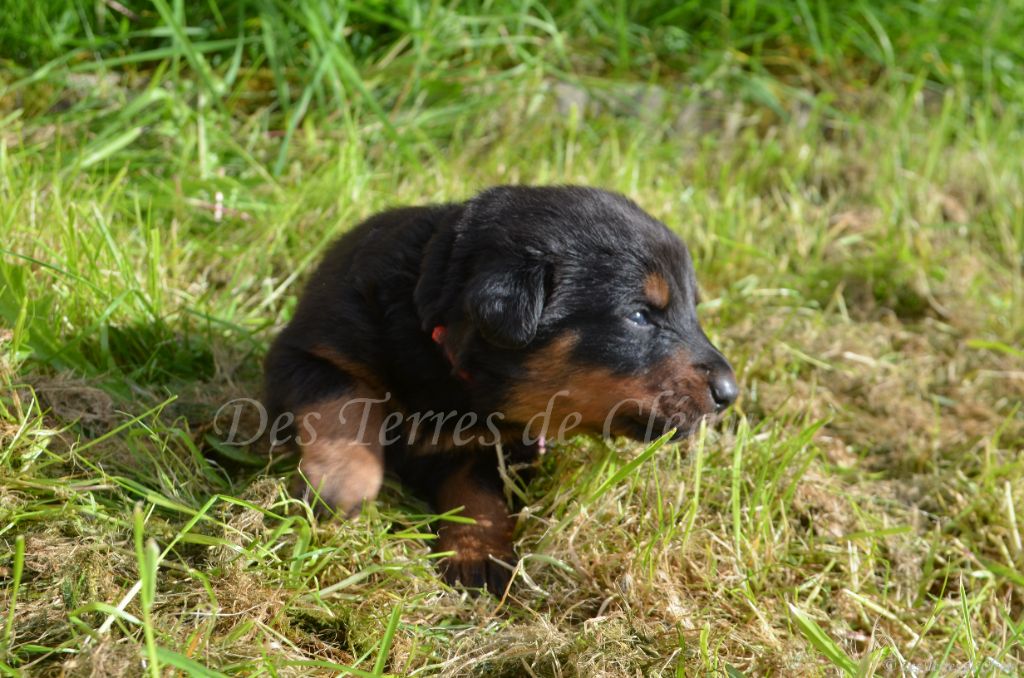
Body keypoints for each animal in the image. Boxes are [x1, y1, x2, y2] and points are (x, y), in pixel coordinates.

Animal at [263, 185, 738, 594]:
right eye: (639, 315)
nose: (730, 393)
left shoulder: (502, 444)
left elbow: (481, 493)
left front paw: (480, 556)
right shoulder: (308, 352)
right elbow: (349, 405)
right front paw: (339, 490)